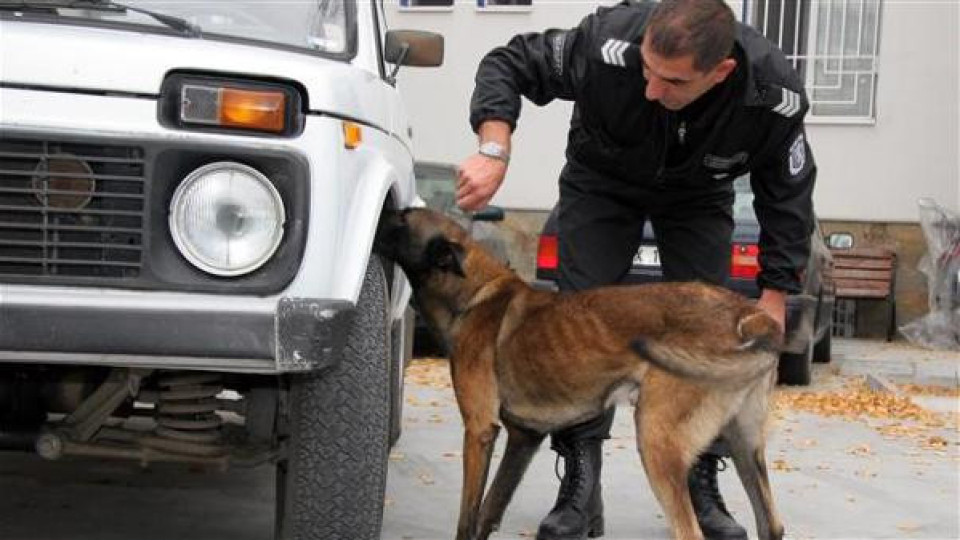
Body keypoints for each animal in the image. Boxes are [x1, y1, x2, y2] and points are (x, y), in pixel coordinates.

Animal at [376, 209, 788, 540]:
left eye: (402, 218)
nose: (381, 209)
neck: (475, 293)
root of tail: (749, 315)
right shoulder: (523, 438)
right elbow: (489, 511)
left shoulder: (479, 430)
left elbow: (467, 517)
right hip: (744, 445)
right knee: (773, 525)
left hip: (658, 440)